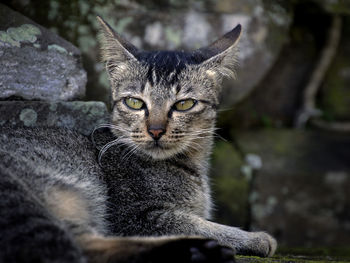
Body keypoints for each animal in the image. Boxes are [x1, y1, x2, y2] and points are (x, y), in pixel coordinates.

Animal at [0, 17, 276, 263]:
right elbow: (200, 224)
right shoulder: (134, 215)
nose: (155, 130)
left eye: (184, 104)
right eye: (134, 102)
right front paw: (254, 238)